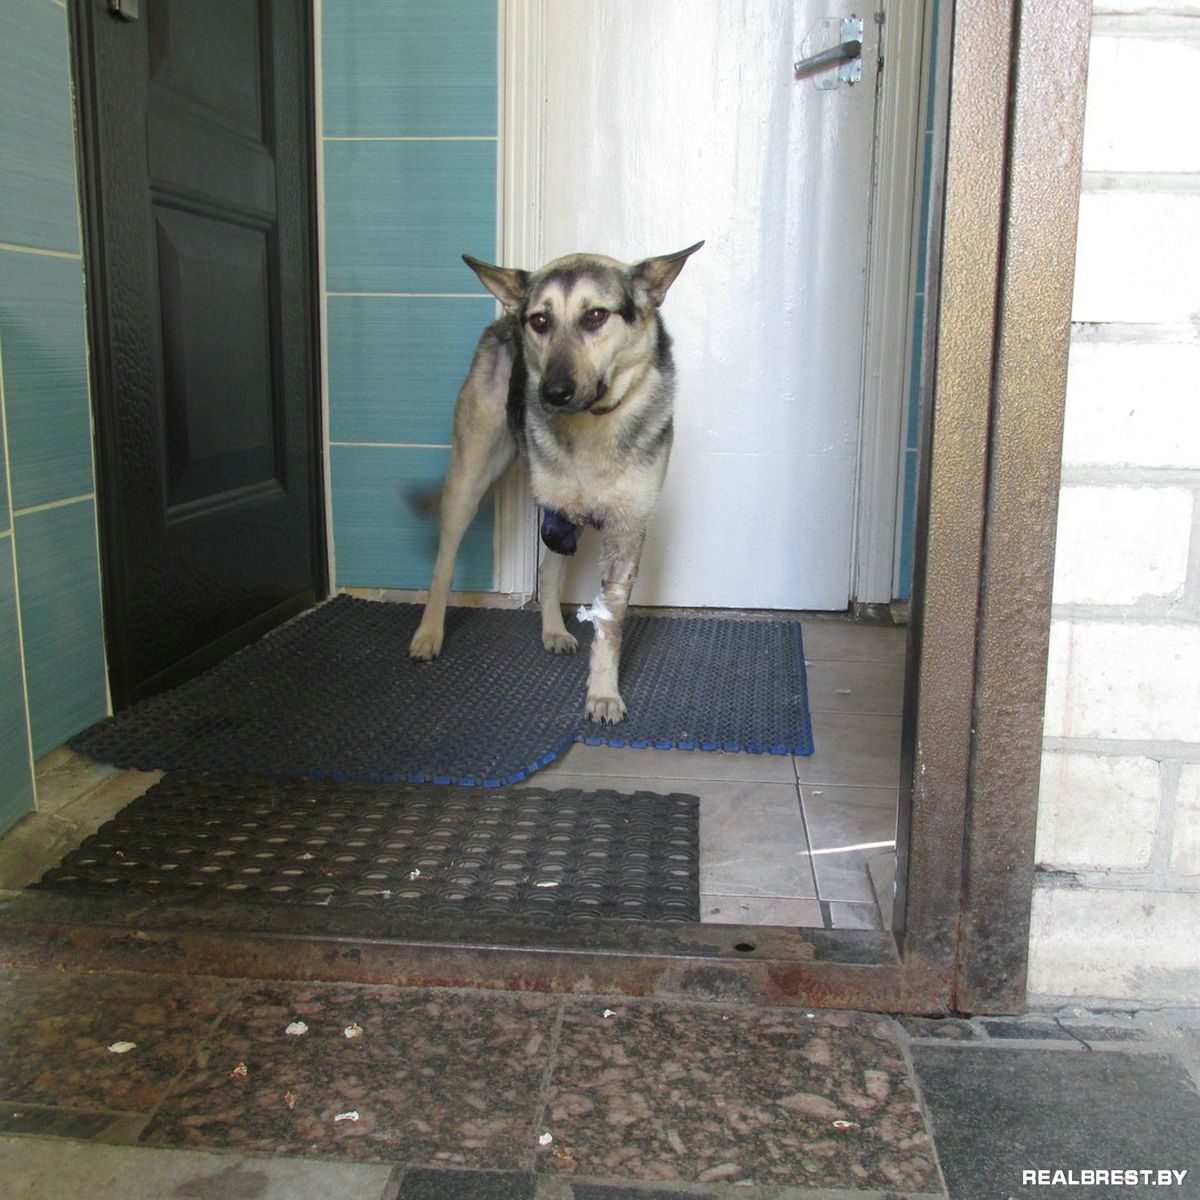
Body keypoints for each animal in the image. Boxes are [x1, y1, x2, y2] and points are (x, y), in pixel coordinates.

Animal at [410, 243, 700, 720]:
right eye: (541, 321)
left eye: (596, 315)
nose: (553, 393)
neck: (595, 423)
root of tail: (503, 318)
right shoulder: (558, 508)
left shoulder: (623, 531)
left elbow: (609, 625)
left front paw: (603, 693)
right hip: (472, 480)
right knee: (444, 561)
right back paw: (428, 633)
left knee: (547, 571)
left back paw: (554, 631)